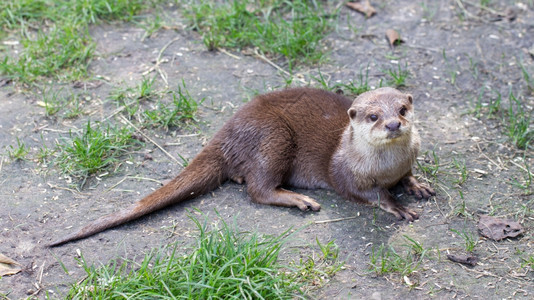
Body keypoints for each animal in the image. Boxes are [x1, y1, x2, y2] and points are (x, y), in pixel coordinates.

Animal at [48, 86, 438, 246]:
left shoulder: (406, 161)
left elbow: (407, 175)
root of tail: (226, 132)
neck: (387, 167)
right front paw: (396, 205)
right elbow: (365, 192)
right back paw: (299, 199)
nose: (393, 124)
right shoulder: (344, 171)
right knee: (257, 189)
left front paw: (416, 185)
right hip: (274, 138)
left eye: (402, 109)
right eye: (373, 116)